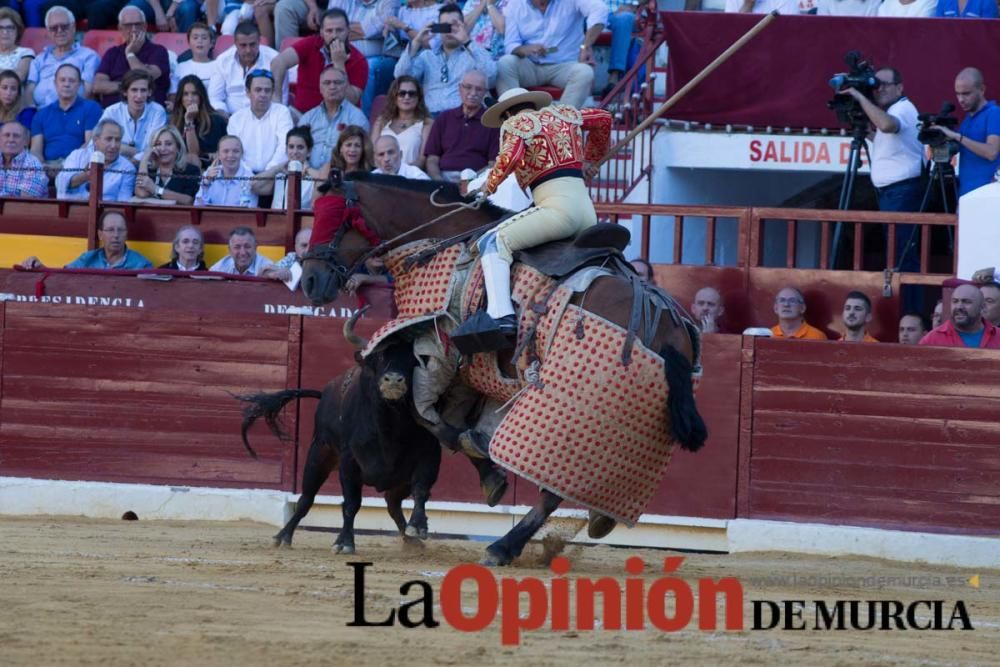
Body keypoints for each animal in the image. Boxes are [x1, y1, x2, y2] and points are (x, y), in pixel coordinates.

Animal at [238, 308, 442, 552]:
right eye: (378, 358)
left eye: (413, 361)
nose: (393, 380)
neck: (390, 425)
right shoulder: (348, 461)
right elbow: (351, 502)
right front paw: (344, 543)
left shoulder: (429, 456)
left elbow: (422, 491)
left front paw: (418, 527)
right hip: (319, 453)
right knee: (306, 499)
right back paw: (283, 536)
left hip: (398, 479)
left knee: (392, 503)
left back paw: (411, 541)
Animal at [300, 171, 708, 564]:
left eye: (331, 217)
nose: (309, 281)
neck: (441, 243)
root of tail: (668, 323)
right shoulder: (473, 373)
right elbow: (456, 418)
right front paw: (486, 468)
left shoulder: (437, 349)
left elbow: (427, 416)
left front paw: (485, 470)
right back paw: (597, 520)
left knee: (551, 492)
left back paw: (504, 547)